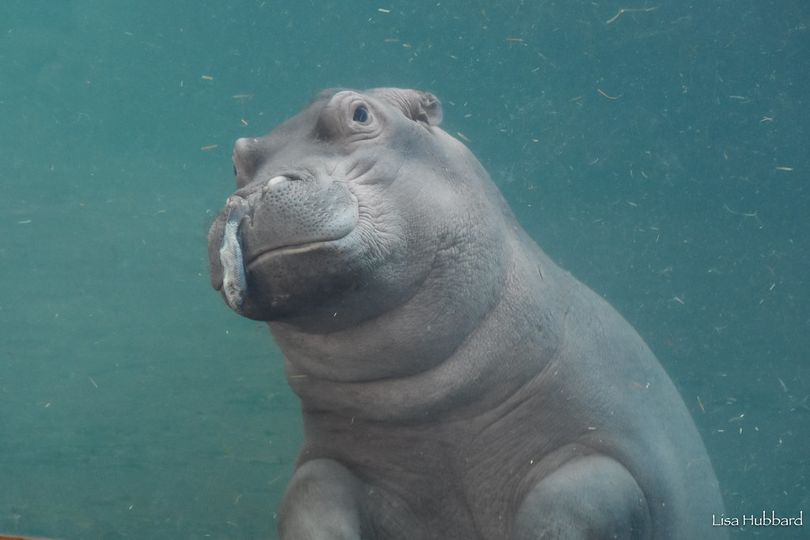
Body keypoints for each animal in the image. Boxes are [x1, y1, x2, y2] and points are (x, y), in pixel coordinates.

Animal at [207, 88, 726, 539]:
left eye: (359, 113)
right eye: (238, 160)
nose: (250, 197)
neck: (428, 398)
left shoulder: (611, 449)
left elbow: (576, 501)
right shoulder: (336, 457)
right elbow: (309, 492)